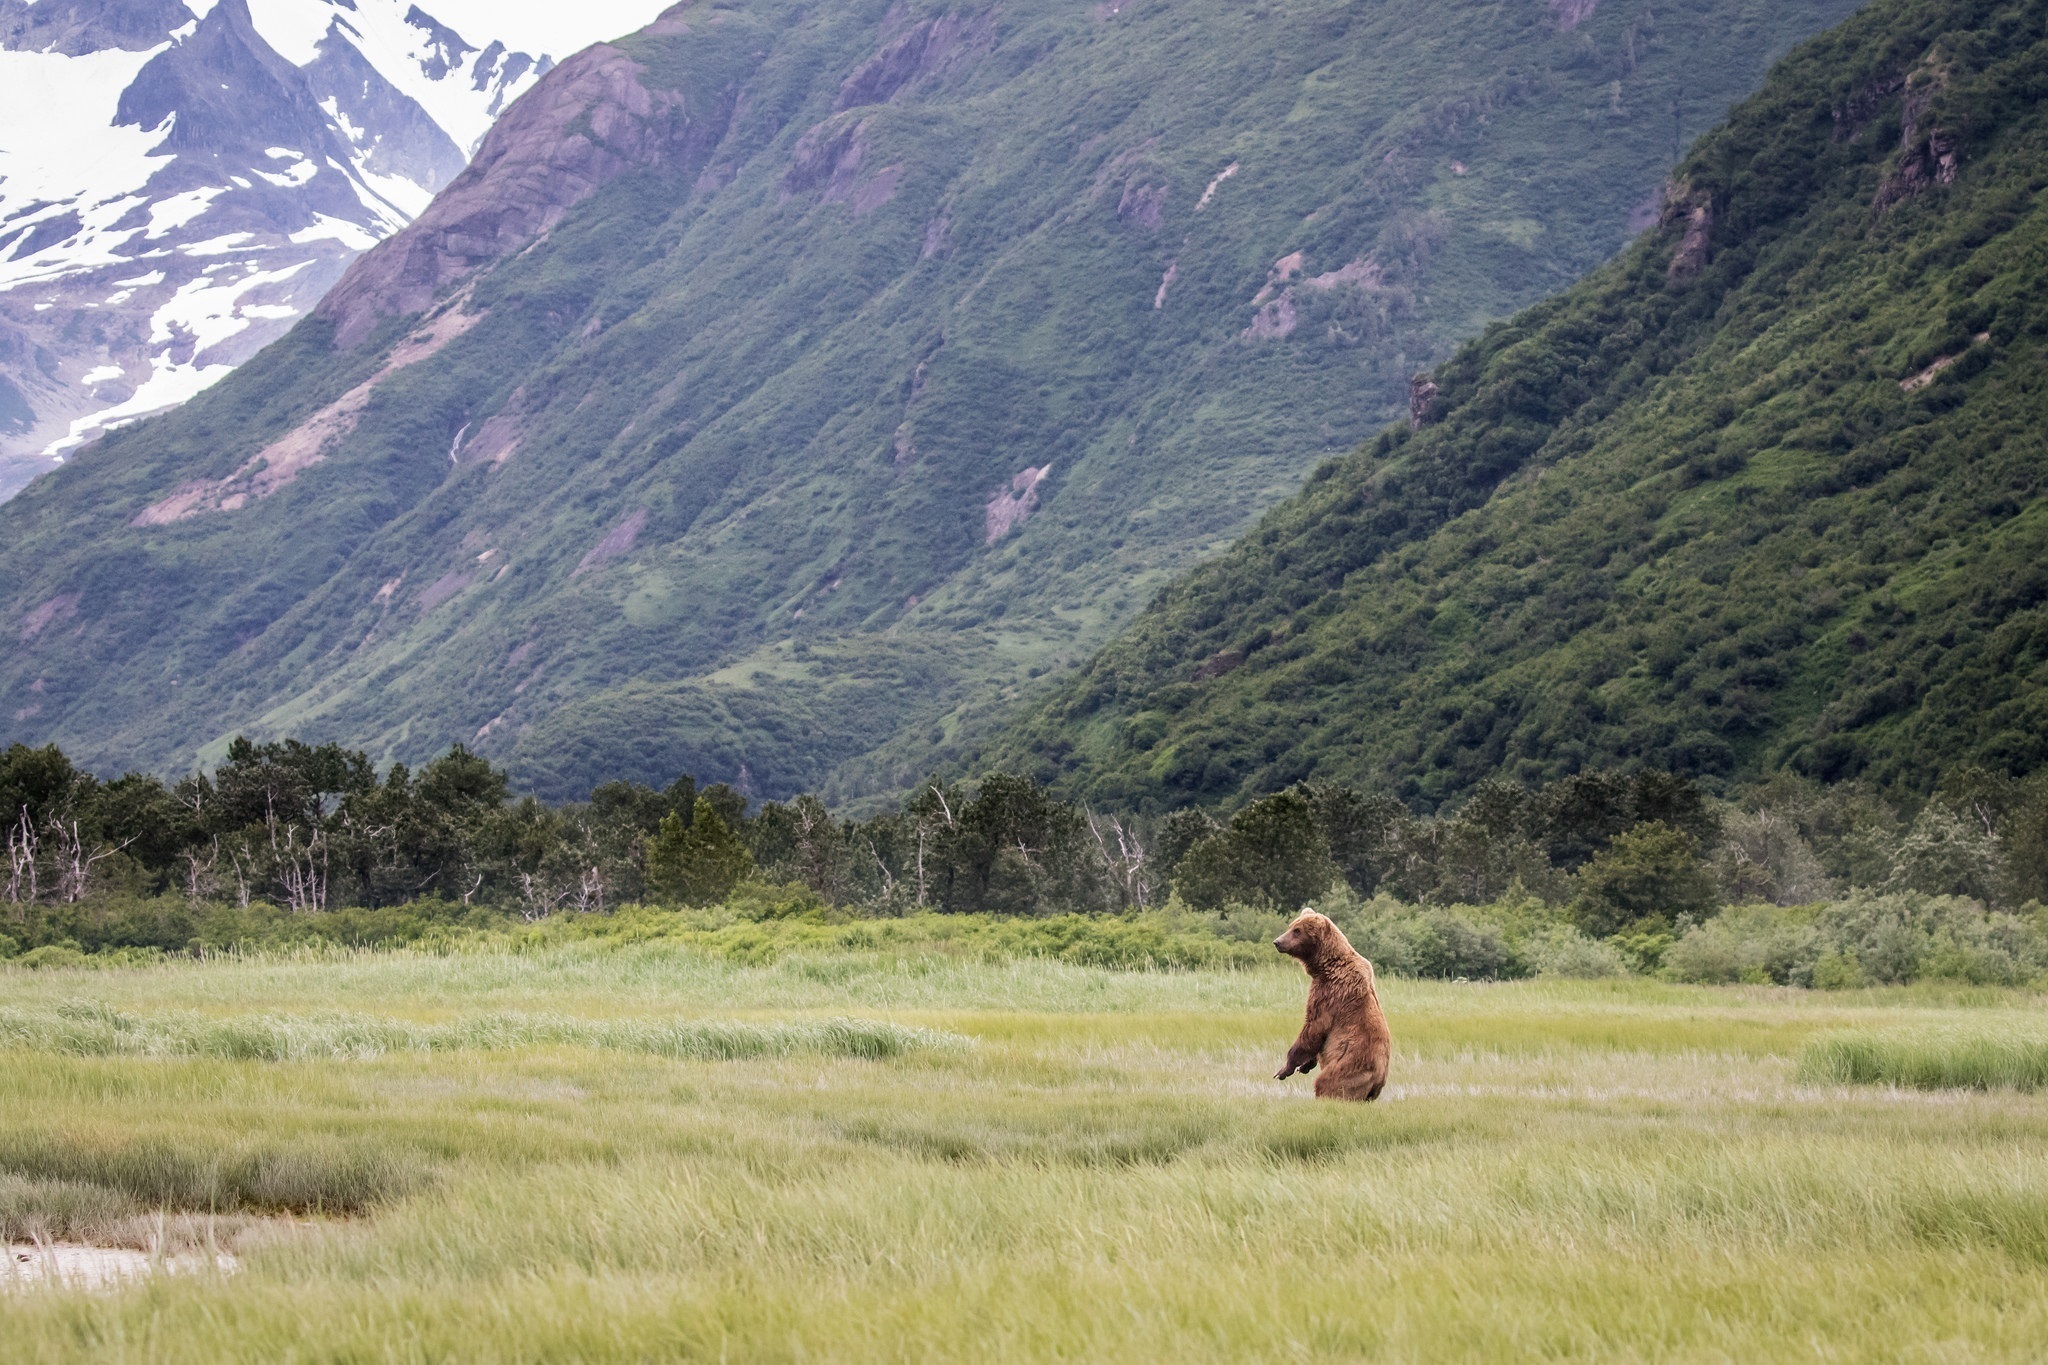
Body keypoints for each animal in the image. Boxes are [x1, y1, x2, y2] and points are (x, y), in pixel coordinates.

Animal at [1277, 912, 1392, 1105]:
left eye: (1297, 930)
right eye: (1291, 926)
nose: (1277, 942)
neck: (1324, 966)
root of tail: (1377, 1082)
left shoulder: (1330, 992)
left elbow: (1314, 1027)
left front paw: (1285, 1069)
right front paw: (1306, 1065)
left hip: (1349, 1067)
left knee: (1327, 1083)